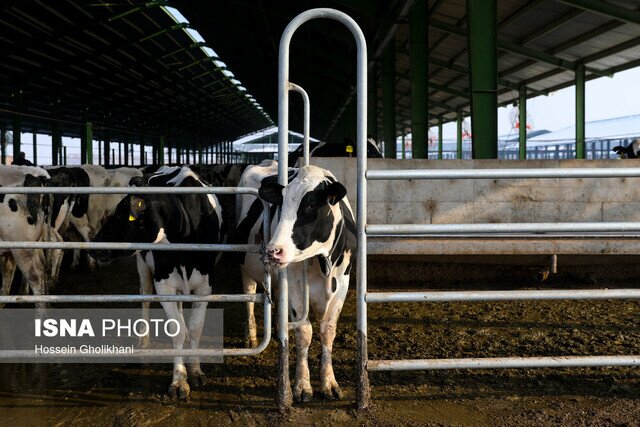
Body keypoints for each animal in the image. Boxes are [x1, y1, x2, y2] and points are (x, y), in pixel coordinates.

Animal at [91, 166, 224, 400]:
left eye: (121, 215)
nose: (93, 248)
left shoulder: (205, 285)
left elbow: (195, 329)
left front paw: (195, 369)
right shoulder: (164, 283)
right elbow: (176, 330)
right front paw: (179, 380)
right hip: (142, 263)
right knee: (145, 295)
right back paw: (143, 340)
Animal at [234, 160, 356, 404]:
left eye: (310, 205)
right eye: (281, 204)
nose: (273, 251)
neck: (323, 264)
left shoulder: (343, 283)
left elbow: (328, 331)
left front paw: (329, 383)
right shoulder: (295, 287)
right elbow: (304, 331)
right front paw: (302, 385)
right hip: (245, 267)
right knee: (249, 296)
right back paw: (251, 337)